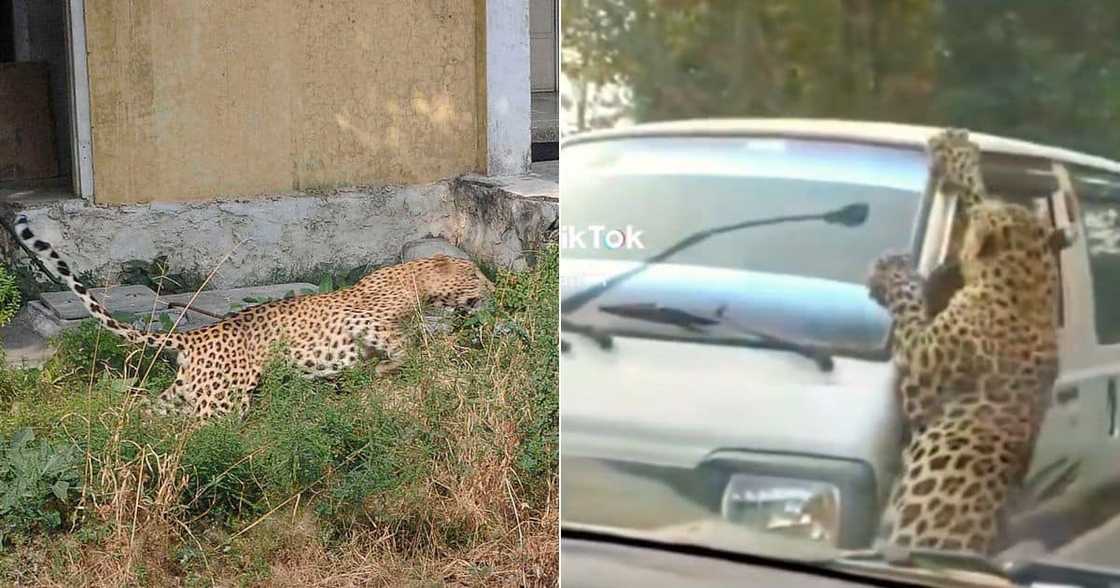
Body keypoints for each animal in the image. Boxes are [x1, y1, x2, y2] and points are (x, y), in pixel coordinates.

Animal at [13, 215, 495, 421]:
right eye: (473, 273)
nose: (492, 288)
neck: (416, 282)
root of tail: (192, 338)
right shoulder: (362, 319)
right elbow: (403, 343)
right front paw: (390, 366)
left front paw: (386, 368)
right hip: (223, 401)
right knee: (201, 434)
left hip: (183, 394)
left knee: (146, 414)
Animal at [864, 128, 1075, 555]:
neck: (1027, 280)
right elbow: (978, 190)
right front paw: (958, 151)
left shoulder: (922, 374)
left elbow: (910, 304)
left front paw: (892, 270)